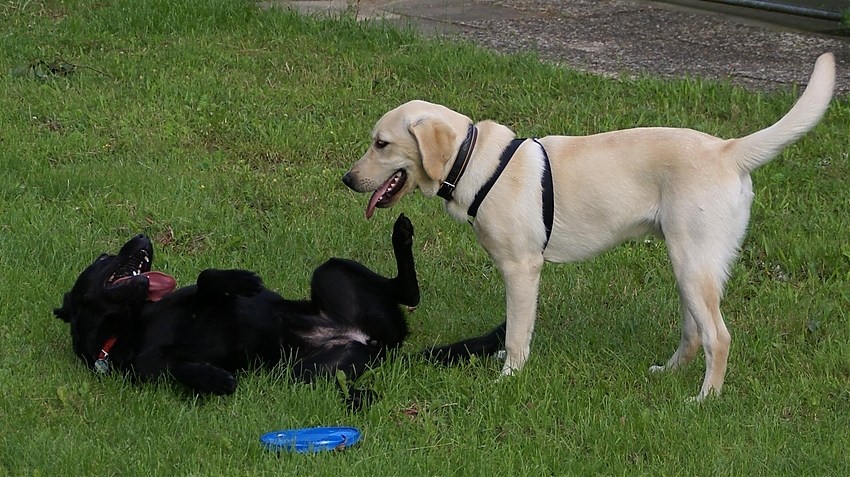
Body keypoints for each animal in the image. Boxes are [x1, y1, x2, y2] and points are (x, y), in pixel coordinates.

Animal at [54, 216, 420, 406]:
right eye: (103, 258)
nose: (143, 235)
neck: (130, 325)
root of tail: (382, 344)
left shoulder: (202, 297)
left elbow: (206, 277)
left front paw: (243, 281)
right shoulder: (148, 371)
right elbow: (173, 366)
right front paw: (216, 379)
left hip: (329, 271)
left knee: (408, 292)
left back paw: (401, 235)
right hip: (307, 372)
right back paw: (363, 396)